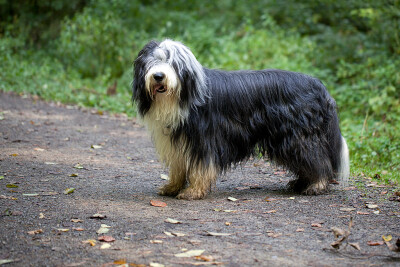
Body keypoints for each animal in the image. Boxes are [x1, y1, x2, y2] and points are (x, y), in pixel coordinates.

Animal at [132, 38, 350, 200]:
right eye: (152, 62)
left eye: (173, 64)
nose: (158, 76)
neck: (181, 97)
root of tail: (318, 85)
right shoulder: (178, 140)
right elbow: (178, 166)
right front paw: (172, 187)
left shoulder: (203, 140)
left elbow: (201, 167)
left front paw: (193, 191)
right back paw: (301, 183)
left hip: (298, 136)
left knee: (317, 158)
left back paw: (317, 184)